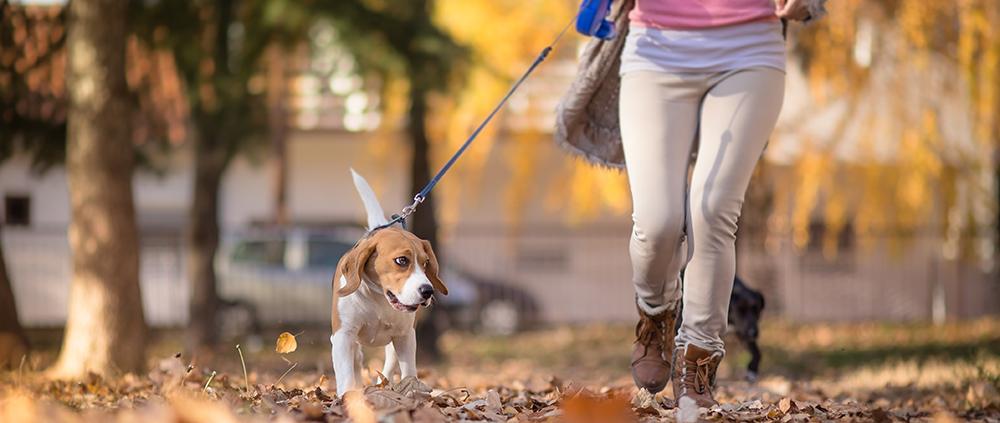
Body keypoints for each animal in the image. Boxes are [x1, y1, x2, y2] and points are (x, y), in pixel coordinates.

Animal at [330, 171, 448, 396]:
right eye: (402, 260)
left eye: (426, 263)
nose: (428, 291)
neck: (379, 299)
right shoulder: (343, 336)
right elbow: (346, 376)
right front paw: (349, 397)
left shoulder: (405, 336)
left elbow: (409, 371)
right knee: (357, 361)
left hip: (394, 344)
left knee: (388, 366)